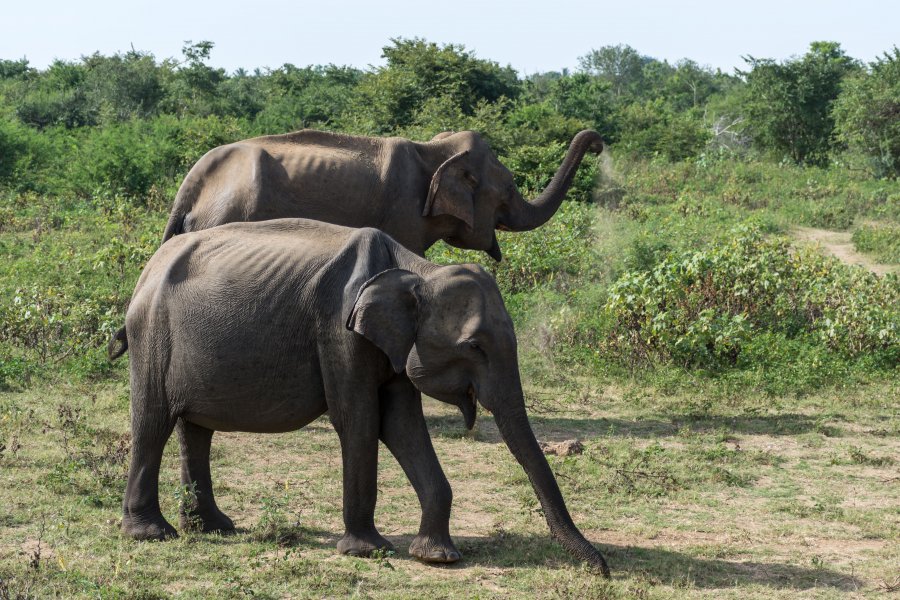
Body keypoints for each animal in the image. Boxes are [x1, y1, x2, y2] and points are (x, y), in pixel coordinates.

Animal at [114, 218, 612, 576]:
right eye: (474, 346)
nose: (603, 571)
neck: (417, 270)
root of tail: (146, 269)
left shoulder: (390, 344)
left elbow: (401, 423)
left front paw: (438, 557)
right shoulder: (339, 329)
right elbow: (358, 418)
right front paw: (367, 551)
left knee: (195, 428)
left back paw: (214, 528)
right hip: (152, 334)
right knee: (153, 422)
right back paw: (152, 534)